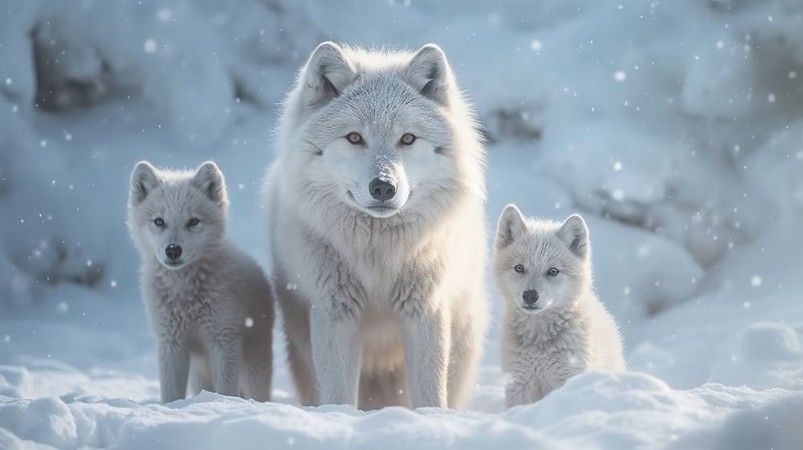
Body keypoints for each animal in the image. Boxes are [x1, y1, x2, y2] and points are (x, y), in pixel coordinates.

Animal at [128, 161, 274, 403]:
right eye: (159, 222)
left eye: (193, 222)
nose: (173, 250)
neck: (185, 293)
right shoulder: (171, 344)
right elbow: (171, 395)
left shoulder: (223, 341)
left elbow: (226, 392)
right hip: (200, 374)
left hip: (253, 364)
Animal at [263, 42, 487, 410]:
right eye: (354, 137)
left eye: (407, 139)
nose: (383, 187)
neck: (377, 257)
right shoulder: (334, 314)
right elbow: (337, 396)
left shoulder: (424, 311)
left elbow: (430, 395)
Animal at [492, 205, 625, 408]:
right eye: (519, 268)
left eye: (553, 271)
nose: (530, 295)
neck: (540, 341)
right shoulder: (519, 384)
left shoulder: (567, 379)